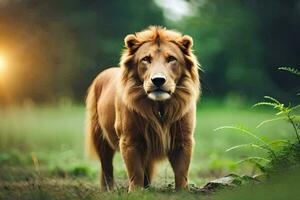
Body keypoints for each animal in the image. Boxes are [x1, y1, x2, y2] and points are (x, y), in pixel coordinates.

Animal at [85, 25, 200, 191]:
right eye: (146, 59)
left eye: (171, 59)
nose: (158, 80)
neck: (159, 107)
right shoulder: (130, 140)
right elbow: (135, 172)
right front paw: (136, 192)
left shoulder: (183, 139)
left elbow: (181, 171)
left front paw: (183, 192)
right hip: (99, 136)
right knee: (106, 167)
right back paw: (108, 189)